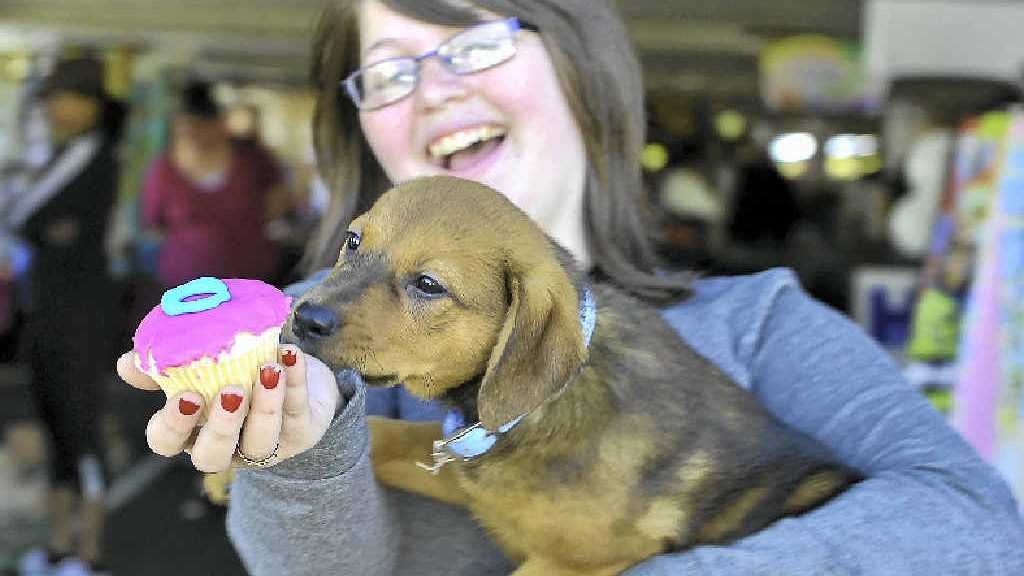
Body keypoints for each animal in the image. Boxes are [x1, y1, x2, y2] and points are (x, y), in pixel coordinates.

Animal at [290, 175, 864, 573]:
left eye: (429, 285)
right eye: (352, 241)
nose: (302, 316)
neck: (536, 409)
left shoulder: (577, 561)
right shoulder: (474, 480)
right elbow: (384, 434)